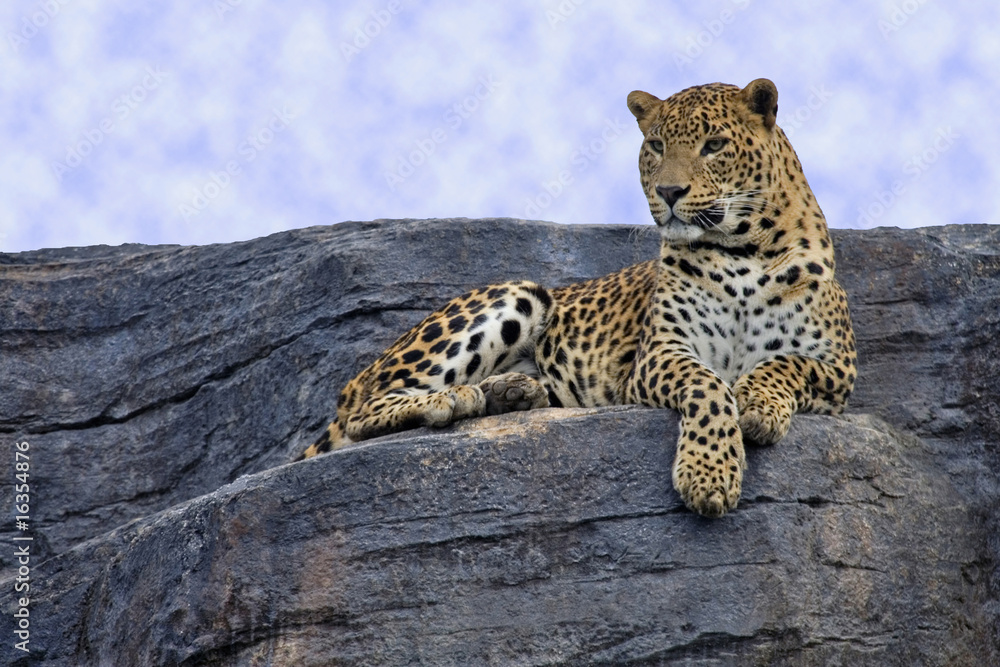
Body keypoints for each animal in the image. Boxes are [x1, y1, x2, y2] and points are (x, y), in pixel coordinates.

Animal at [297, 78, 857, 518]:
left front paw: (760, 407)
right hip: (517, 295)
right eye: (656, 145)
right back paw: (452, 398)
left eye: (715, 144)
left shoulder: (840, 370)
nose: (669, 192)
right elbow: (709, 387)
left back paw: (511, 392)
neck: (744, 250)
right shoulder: (660, 353)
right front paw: (708, 475)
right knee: (364, 408)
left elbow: (785, 364)